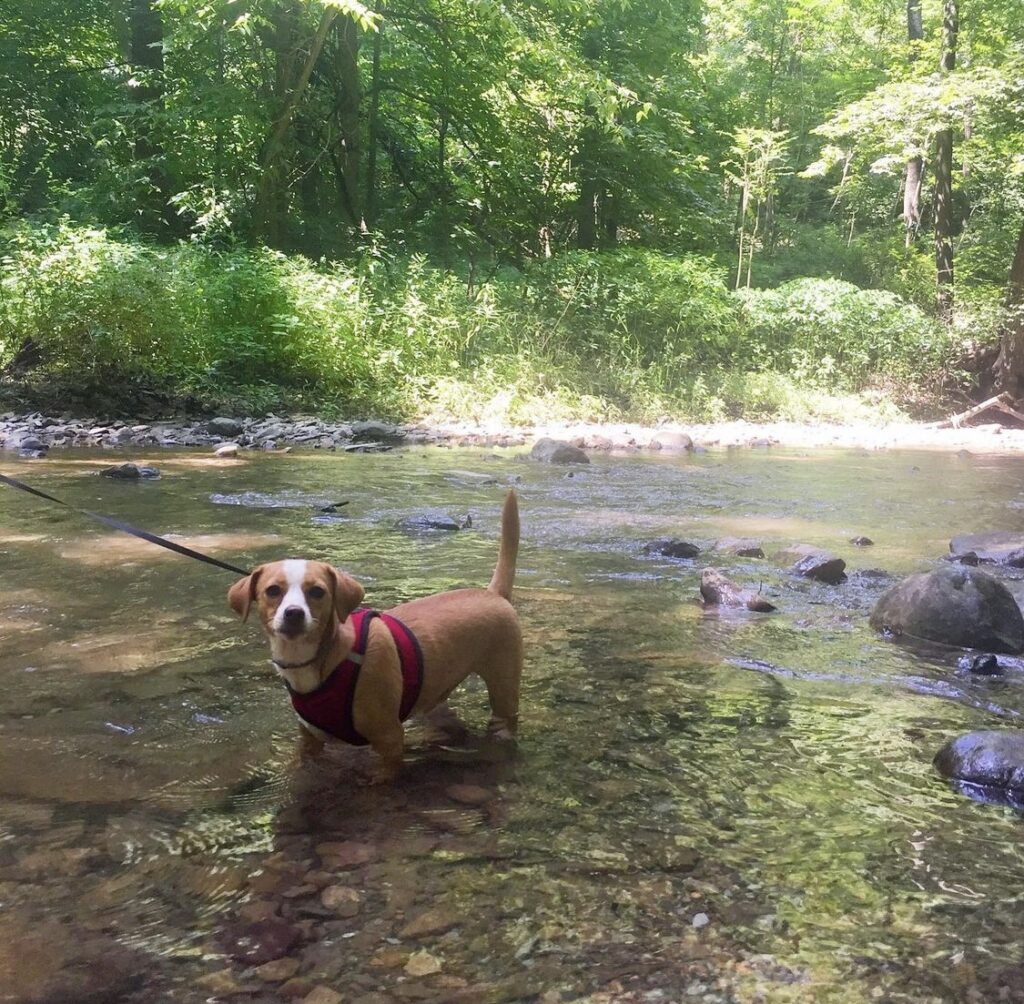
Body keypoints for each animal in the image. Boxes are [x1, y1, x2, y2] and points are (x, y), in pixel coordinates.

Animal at [229, 489, 524, 778]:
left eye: (317, 591)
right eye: (272, 590)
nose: (294, 613)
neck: (325, 659)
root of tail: (492, 593)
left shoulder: (390, 741)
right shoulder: (310, 740)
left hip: (504, 690)